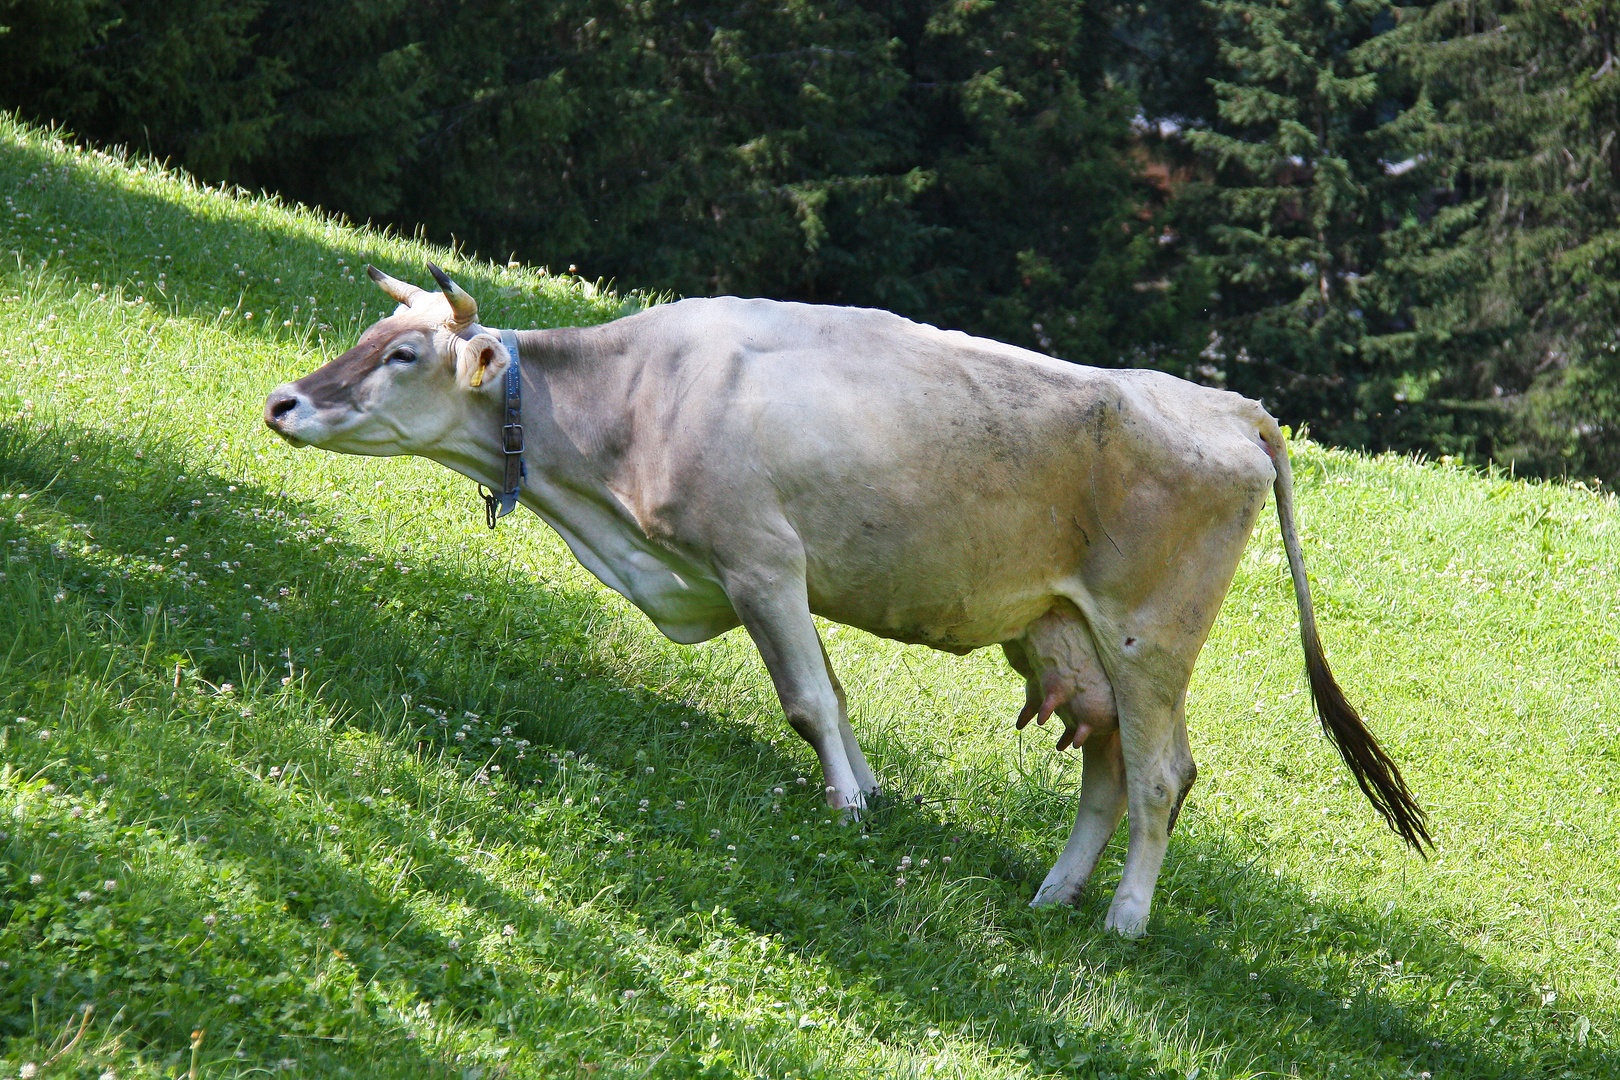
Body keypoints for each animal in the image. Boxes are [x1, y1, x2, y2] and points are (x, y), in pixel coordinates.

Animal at [265, 263, 1432, 939]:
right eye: (364, 336)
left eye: (402, 353)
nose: (282, 401)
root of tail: (1228, 403)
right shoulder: (768, 578)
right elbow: (830, 691)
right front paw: (871, 792)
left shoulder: (760, 563)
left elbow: (807, 701)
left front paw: (847, 806)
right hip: (1079, 638)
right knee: (1106, 777)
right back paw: (1055, 895)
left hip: (1152, 641)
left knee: (1160, 777)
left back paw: (1124, 921)